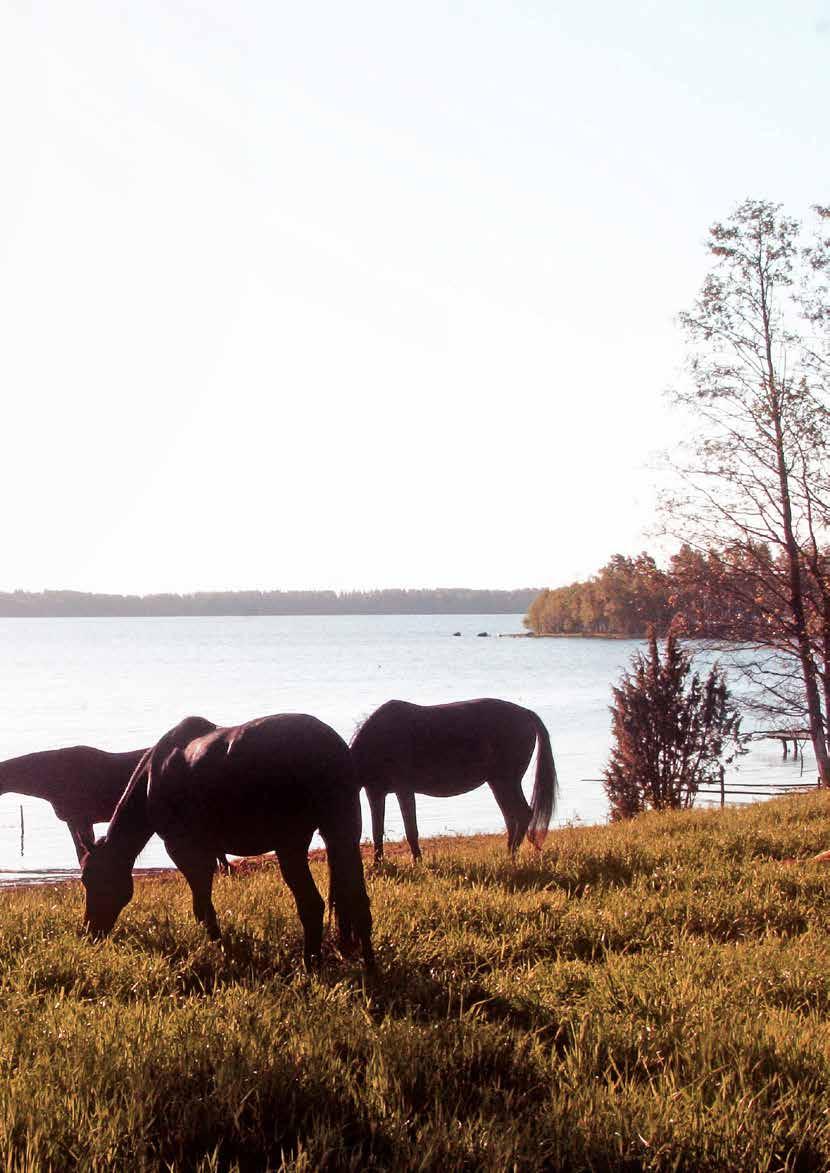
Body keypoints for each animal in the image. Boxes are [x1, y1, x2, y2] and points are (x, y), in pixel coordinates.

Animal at [80, 708, 372, 966]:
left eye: (88, 880)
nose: (90, 932)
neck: (152, 777)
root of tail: (332, 749)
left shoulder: (185, 850)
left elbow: (202, 907)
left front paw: (219, 948)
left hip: (291, 844)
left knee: (311, 904)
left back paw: (311, 965)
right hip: (342, 832)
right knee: (358, 904)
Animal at [349, 694, 558, 863]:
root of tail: (527, 714)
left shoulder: (404, 790)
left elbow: (411, 830)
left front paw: (418, 863)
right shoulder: (375, 793)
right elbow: (377, 831)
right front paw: (378, 865)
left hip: (507, 781)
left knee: (522, 814)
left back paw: (512, 858)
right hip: (498, 783)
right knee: (511, 817)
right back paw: (508, 855)